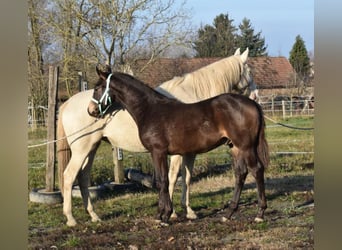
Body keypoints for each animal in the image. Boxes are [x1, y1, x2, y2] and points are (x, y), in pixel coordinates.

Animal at [57, 47, 258, 227]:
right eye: (249, 70)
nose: (256, 95)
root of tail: (66, 104)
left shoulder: (188, 152)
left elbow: (186, 178)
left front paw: (187, 211)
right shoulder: (177, 153)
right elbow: (173, 177)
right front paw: (174, 212)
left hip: (92, 147)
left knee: (83, 177)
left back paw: (93, 216)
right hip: (82, 149)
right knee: (69, 176)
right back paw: (70, 218)